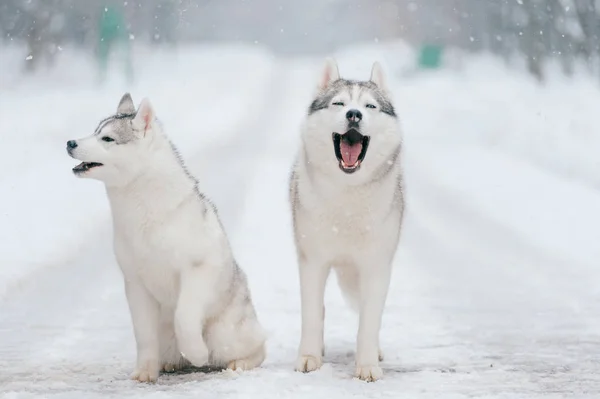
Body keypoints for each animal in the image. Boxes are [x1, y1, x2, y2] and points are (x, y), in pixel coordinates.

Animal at [63, 94, 268, 384]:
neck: (143, 211)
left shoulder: (198, 269)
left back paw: (237, 362)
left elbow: (184, 316)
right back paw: (169, 364)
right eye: (94, 131)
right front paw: (145, 372)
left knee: (258, 348)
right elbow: (143, 334)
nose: (70, 143)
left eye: (108, 139)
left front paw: (197, 353)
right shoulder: (135, 284)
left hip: (224, 335)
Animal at [288, 58, 406, 382]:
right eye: (339, 103)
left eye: (370, 106)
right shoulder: (312, 262)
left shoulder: (376, 266)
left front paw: (367, 365)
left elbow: (369, 320)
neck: (347, 201)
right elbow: (312, 314)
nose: (354, 114)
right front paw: (309, 357)